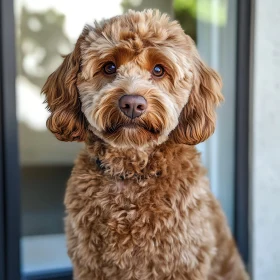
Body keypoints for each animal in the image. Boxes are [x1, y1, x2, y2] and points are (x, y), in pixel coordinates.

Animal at [42, 9, 249, 280]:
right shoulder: (89, 264)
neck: (132, 173)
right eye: (109, 67)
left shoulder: (183, 262)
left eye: (159, 69)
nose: (132, 103)